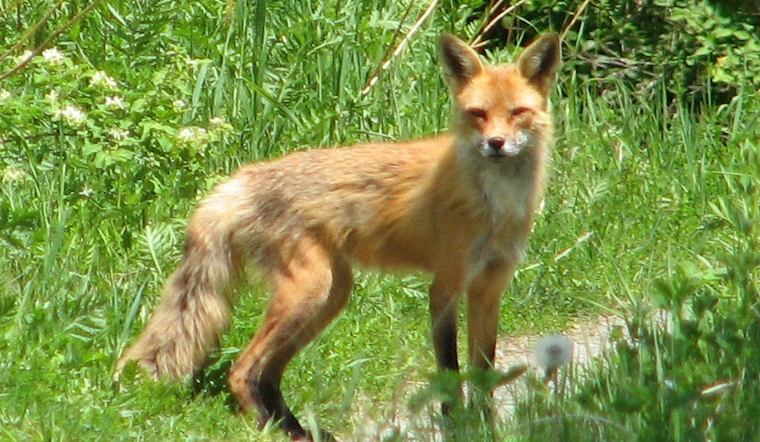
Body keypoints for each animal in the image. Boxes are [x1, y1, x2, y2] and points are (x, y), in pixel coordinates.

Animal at [115, 32, 561, 441]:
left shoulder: (489, 287)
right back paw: (271, 430)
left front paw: (487, 429)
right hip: (309, 292)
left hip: (330, 296)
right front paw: (457, 427)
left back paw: (296, 430)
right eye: (478, 114)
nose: (496, 144)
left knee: (268, 374)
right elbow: (450, 370)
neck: (495, 204)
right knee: (242, 371)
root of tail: (239, 179)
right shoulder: (446, 285)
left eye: (519, 112)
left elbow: (484, 372)